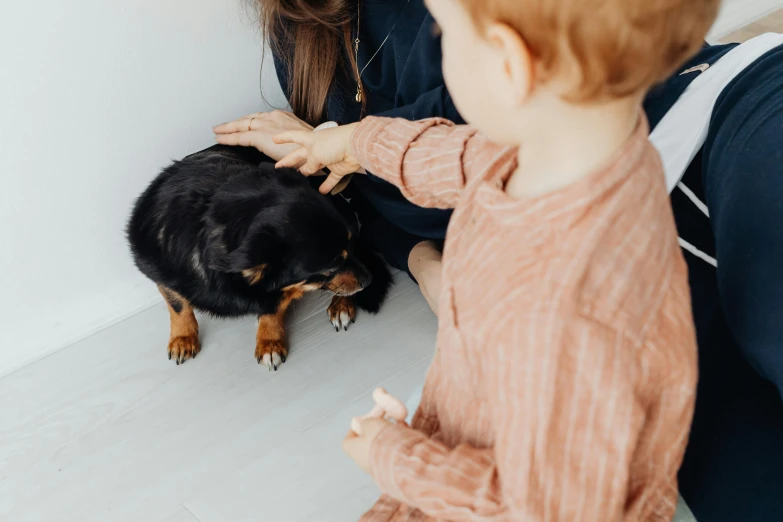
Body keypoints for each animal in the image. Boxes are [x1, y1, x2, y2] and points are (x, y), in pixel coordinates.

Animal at [128, 144, 392, 368]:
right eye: (330, 266)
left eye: (348, 244)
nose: (368, 279)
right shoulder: (160, 272)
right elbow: (178, 305)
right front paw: (183, 337)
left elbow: (271, 308)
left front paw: (269, 342)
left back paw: (341, 305)